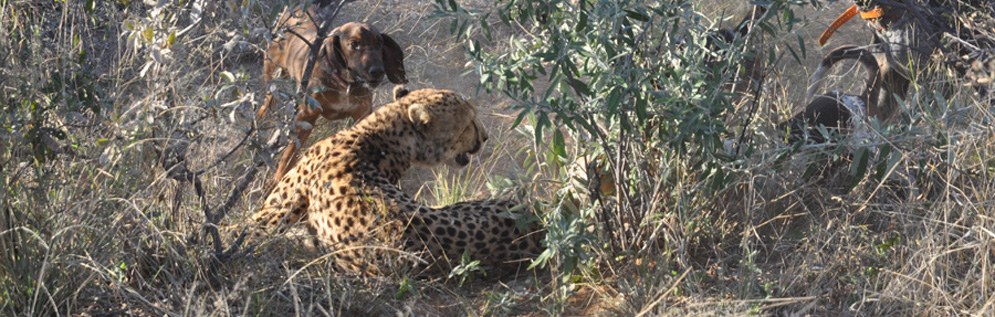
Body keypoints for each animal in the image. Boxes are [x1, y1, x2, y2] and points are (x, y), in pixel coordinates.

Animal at [249, 86, 544, 274]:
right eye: (468, 123)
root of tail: (535, 225)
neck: (378, 133)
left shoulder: (271, 214)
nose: (485, 137)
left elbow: (255, 229)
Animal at [262, 8, 410, 181]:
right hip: (272, 78)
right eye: (354, 44)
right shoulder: (306, 117)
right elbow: (288, 157)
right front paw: (279, 181)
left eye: (379, 42)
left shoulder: (362, 114)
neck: (345, 83)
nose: (378, 71)